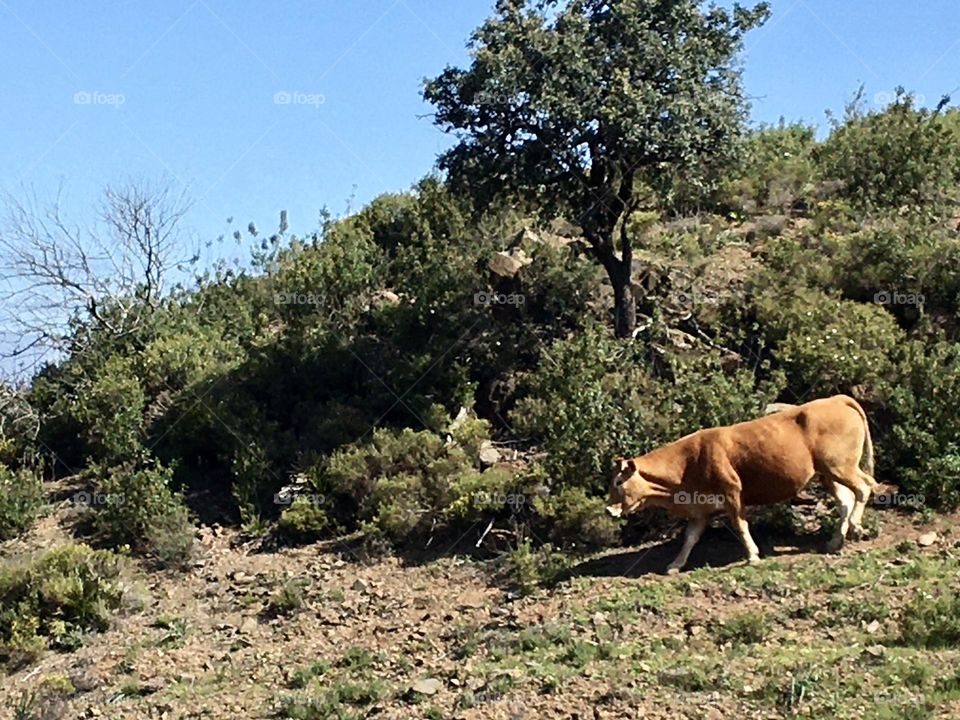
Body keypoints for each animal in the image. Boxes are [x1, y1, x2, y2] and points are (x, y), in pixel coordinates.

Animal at [605, 395, 876, 574]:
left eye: (618, 481)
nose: (608, 509)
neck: (688, 463)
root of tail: (838, 399)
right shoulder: (700, 509)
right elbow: (690, 538)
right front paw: (675, 564)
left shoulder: (732, 492)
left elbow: (740, 525)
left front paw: (753, 555)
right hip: (828, 474)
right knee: (846, 501)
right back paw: (835, 541)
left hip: (840, 466)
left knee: (864, 487)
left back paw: (855, 526)